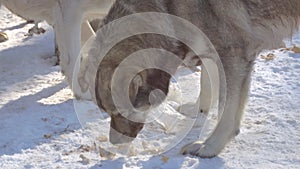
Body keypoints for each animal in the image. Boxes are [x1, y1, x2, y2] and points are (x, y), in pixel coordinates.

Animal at [88, 0, 298, 158]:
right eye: (106, 112)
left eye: (121, 111)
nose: (114, 142)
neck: (169, 8)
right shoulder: (210, 49)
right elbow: (206, 84)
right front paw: (198, 109)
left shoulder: (234, 56)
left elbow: (227, 110)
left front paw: (210, 146)